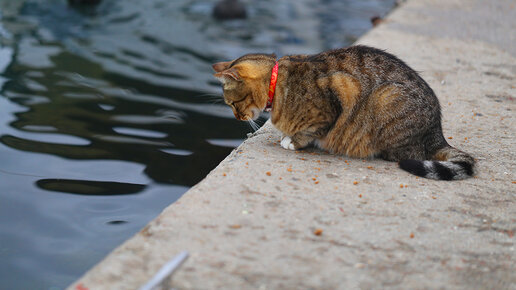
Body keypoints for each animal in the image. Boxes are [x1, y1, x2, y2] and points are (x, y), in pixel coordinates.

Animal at [212, 45, 474, 180]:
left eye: (232, 104)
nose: (237, 117)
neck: (277, 84)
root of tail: (437, 130)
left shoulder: (339, 95)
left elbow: (311, 131)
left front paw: (293, 141)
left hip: (387, 98)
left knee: (409, 152)